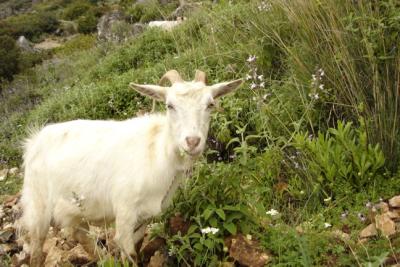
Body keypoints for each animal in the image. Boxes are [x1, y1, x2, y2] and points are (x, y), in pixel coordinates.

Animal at [20, 70, 242, 266]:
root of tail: (34, 140)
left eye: (210, 104)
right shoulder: (125, 211)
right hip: (38, 206)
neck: (157, 152)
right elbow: (129, 253)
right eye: (169, 105)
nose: (193, 141)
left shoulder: (144, 217)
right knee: (37, 249)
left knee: (79, 233)